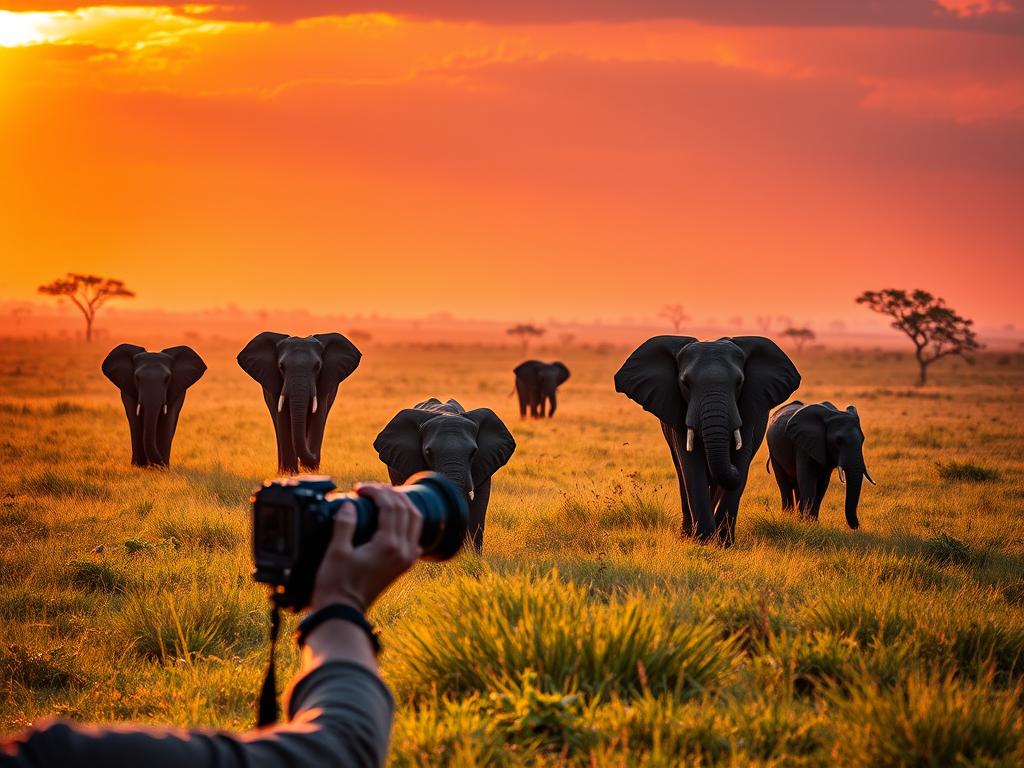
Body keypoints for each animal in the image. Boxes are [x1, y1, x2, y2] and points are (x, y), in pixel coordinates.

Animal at [237, 332, 361, 473]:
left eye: (317, 367)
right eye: (281, 367)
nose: (315, 458)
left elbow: (318, 417)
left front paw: (310, 472)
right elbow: (282, 419)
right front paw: (289, 473)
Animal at [614, 336, 800, 545]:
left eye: (739, 382)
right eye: (686, 383)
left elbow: (740, 461)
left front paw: (723, 543)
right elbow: (692, 467)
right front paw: (704, 540)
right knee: (682, 475)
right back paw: (687, 535)